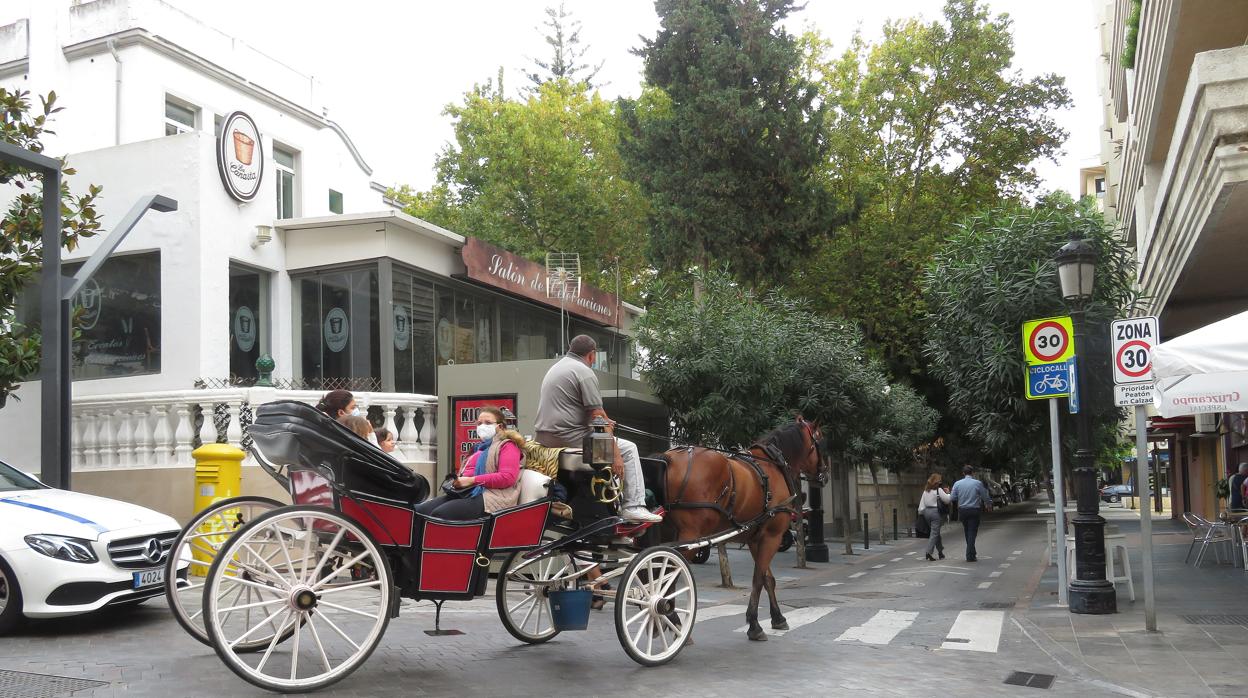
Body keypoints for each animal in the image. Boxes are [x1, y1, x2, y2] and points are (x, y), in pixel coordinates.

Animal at [663, 417, 828, 644]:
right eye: (820, 442)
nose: (825, 474)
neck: (773, 465)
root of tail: (670, 458)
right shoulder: (772, 536)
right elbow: (758, 578)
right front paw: (754, 625)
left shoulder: (755, 538)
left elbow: (768, 579)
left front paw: (777, 617)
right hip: (690, 537)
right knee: (670, 572)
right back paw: (672, 620)